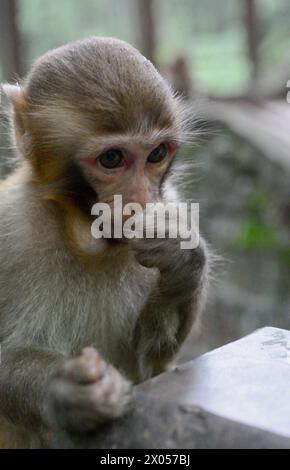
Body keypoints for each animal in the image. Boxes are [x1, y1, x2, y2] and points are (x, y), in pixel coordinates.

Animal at [0, 36, 208, 448]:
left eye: (156, 154)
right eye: (112, 158)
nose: (142, 200)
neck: (83, 236)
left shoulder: (172, 203)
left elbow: (153, 363)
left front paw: (183, 257)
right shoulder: (7, 229)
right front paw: (65, 392)